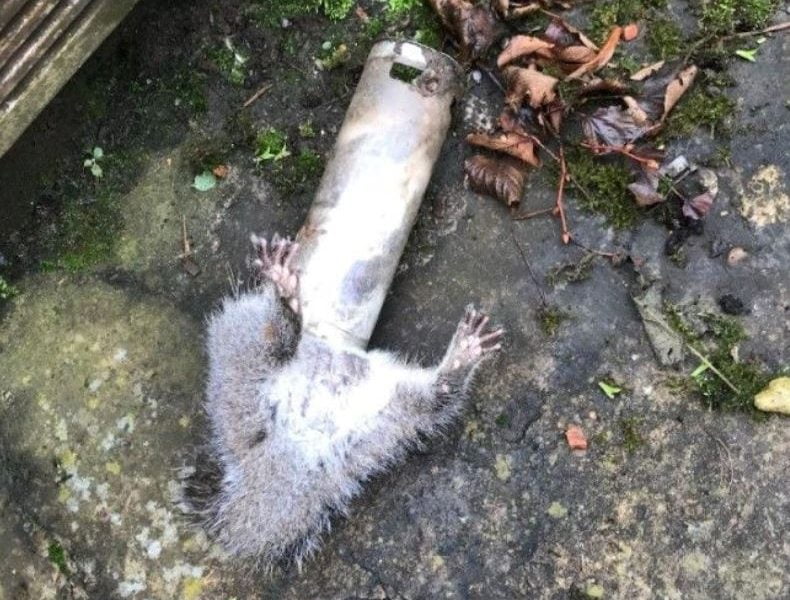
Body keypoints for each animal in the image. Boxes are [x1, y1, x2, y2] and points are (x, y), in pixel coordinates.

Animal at [186, 233, 503, 569]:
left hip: (391, 411)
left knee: (437, 397)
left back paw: (460, 358)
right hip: (243, 366)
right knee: (271, 339)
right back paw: (285, 300)